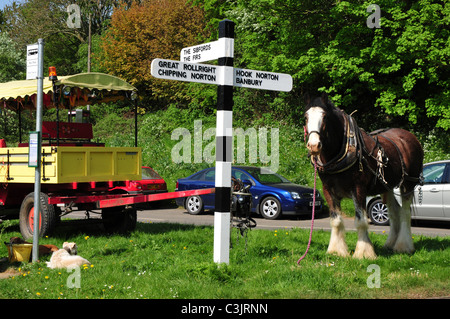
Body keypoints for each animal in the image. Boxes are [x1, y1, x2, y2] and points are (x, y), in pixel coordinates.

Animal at [304, 94, 424, 258]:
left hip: (408, 183)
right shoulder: (328, 190)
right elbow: (336, 221)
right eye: (306, 117)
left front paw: (363, 252)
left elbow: (361, 221)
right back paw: (390, 244)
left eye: (325, 117)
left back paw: (404, 246)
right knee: (394, 212)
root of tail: (411, 137)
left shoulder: (358, 188)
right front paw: (336, 250)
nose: (314, 145)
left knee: (405, 212)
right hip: (388, 186)